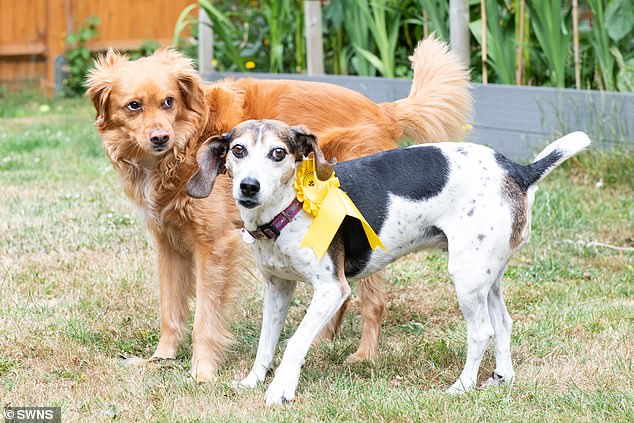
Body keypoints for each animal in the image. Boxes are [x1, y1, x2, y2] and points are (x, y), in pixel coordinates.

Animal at [84, 35, 470, 380]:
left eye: (168, 102)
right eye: (134, 105)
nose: (159, 137)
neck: (186, 142)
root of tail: (383, 110)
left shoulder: (214, 245)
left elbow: (205, 316)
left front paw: (202, 370)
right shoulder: (169, 242)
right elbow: (170, 308)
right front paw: (161, 358)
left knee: (372, 302)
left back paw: (364, 355)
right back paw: (323, 342)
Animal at [185, 118, 592, 404]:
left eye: (278, 154)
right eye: (238, 151)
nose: (248, 186)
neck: (289, 208)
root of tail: (517, 170)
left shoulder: (331, 290)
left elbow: (294, 343)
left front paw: (281, 391)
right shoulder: (277, 290)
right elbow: (266, 344)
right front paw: (253, 381)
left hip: (466, 278)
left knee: (482, 332)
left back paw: (462, 387)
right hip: (486, 276)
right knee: (504, 324)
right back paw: (500, 379)